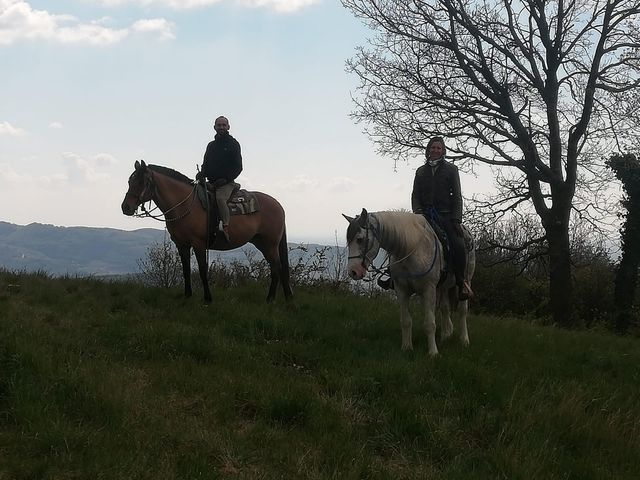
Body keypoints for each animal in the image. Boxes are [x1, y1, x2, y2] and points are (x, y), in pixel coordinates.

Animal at [120, 161, 292, 304]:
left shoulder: (199, 244)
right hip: (261, 242)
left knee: (276, 267)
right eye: (129, 181)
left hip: (270, 244)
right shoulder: (182, 245)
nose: (125, 207)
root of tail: (278, 205)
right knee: (277, 267)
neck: (185, 206)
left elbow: (203, 270)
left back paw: (270, 298)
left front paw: (208, 298)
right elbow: (186, 269)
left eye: (141, 182)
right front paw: (187, 295)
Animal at [344, 207, 476, 356]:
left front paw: (433, 352)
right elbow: (406, 321)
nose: (353, 272)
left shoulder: (428, 290)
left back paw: (464, 340)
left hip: (466, 280)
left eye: (360, 239)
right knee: (445, 308)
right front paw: (406, 347)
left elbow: (430, 323)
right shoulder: (402, 290)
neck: (410, 248)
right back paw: (445, 335)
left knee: (462, 310)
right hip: (442, 287)